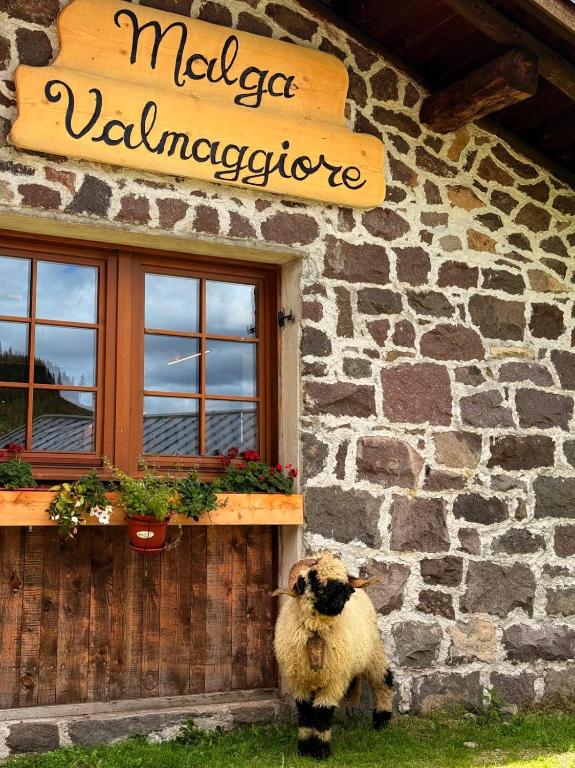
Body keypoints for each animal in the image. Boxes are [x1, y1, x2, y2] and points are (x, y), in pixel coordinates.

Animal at [273, 551, 393, 760]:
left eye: (342, 580)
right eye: (312, 578)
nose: (342, 597)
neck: (316, 633)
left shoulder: (334, 679)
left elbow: (322, 713)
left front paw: (320, 751)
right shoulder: (299, 680)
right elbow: (305, 712)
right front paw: (304, 749)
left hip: (373, 652)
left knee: (383, 681)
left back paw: (382, 721)